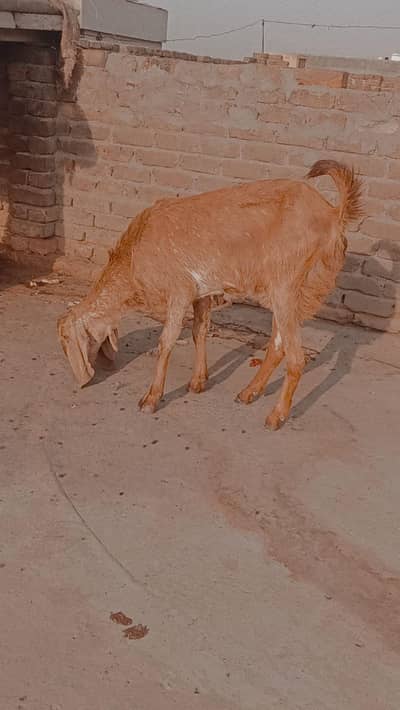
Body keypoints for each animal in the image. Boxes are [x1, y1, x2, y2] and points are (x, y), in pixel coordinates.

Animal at [58, 160, 363, 429]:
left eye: (64, 339)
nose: (81, 381)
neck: (134, 256)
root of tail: (332, 214)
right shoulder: (202, 293)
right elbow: (199, 332)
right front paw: (198, 382)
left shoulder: (179, 291)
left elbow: (166, 342)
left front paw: (151, 399)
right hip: (283, 290)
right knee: (277, 346)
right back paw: (248, 393)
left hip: (286, 285)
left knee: (296, 358)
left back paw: (276, 416)